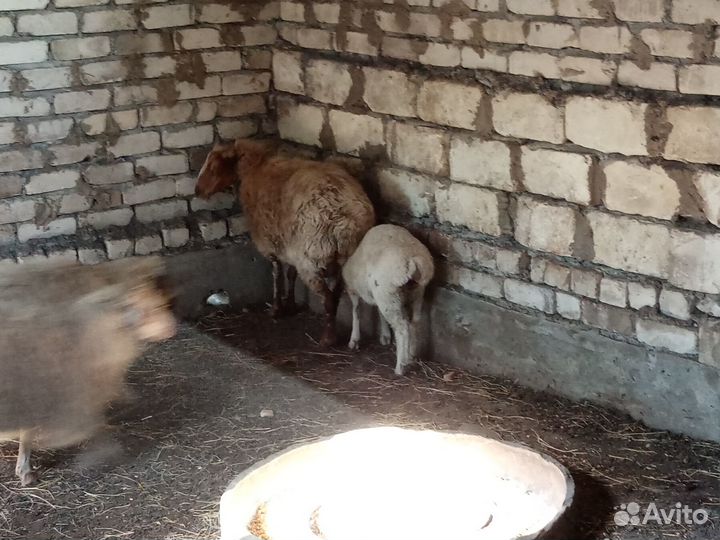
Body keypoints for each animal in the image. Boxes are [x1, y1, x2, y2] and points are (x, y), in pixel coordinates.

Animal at [195, 139, 375, 346]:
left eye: (214, 167)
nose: (197, 190)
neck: (254, 168)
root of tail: (345, 221)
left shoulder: (269, 243)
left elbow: (277, 274)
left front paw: (276, 309)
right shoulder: (289, 245)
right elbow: (290, 274)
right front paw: (290, 304)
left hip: (312, 259)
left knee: (328, 299)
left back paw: (327, 338)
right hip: (340, 259)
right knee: (336, 295)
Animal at [342, 224, 435, 375]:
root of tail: (411, 260)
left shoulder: (353, 289)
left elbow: (355, 311)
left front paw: (354, 340)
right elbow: (378, 313)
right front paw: (385, 336)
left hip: (388, 293)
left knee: (402, 328)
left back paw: (400, 366)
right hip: (415, 294)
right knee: (415, 322)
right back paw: (411, 356)